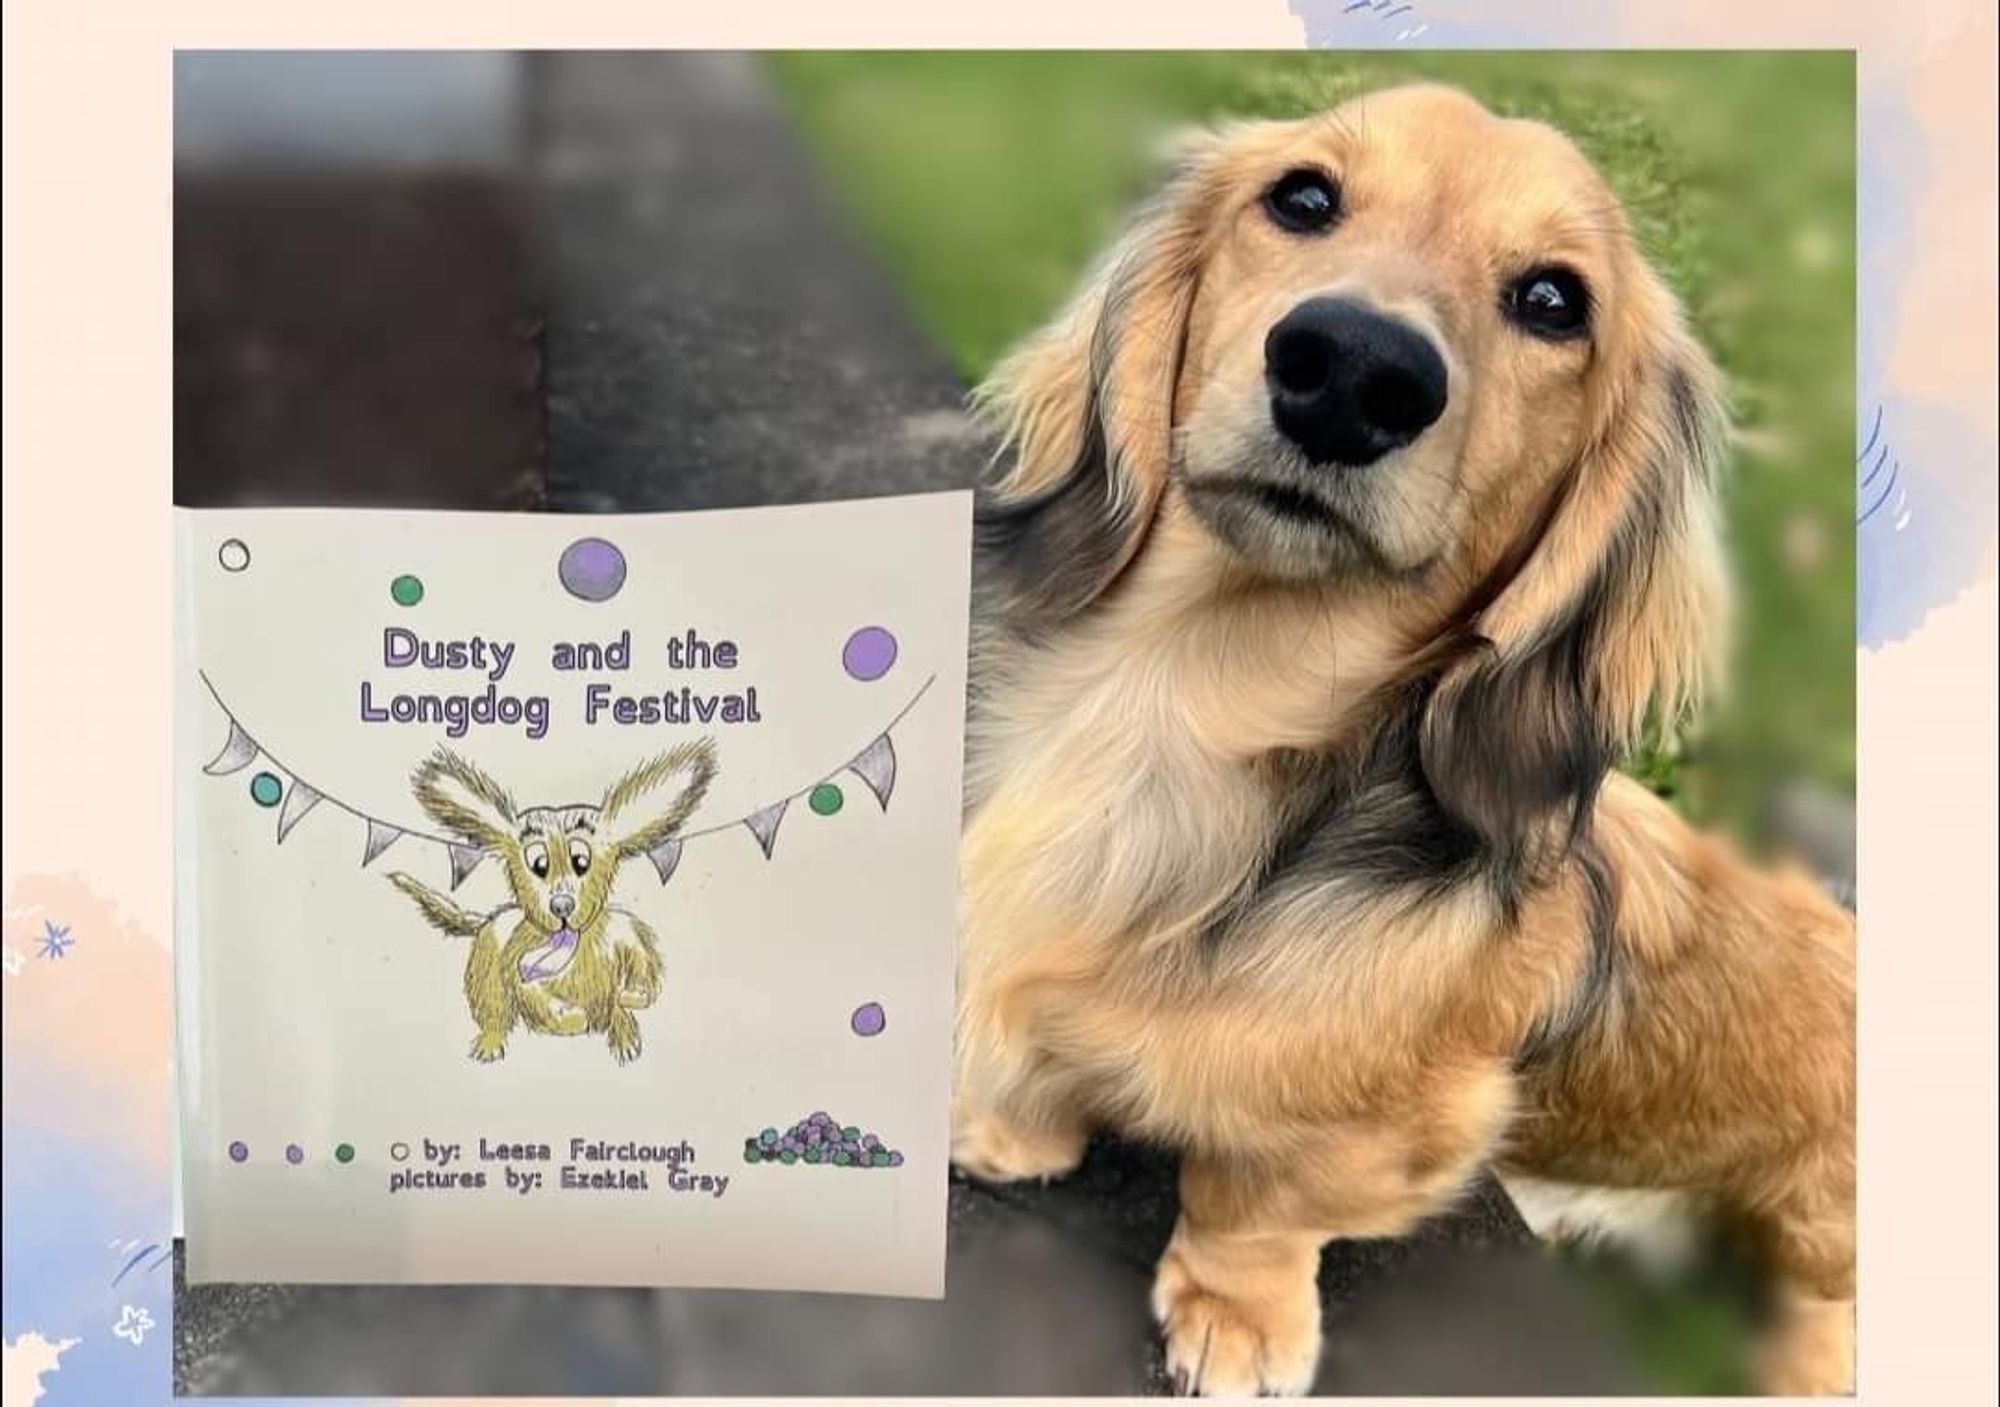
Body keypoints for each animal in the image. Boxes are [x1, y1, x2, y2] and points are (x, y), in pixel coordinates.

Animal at [386, 743, 716, 1063]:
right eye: (539, 864)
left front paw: (628, 1002)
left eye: (581, 861)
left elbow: (644, 977)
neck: (570, 941)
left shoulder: (626, 935)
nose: (561, 906)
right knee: (493, 1009)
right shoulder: (520, 965)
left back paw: (623, 1033)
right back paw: (492, 1041)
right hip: (486, 969)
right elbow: (538, 996)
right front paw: (573, 1017)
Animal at [952, 87, 1856, 1399]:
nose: (1351, 370)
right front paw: (1009, 1129)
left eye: (1553, 301)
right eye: (1301, 196)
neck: (1176, 711)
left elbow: (1251, 1200)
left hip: (1821, 1218)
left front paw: (1235, 1319)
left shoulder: (1393, 1129)